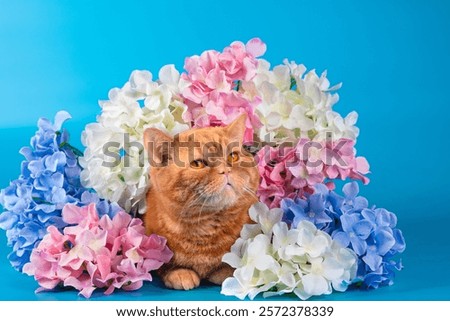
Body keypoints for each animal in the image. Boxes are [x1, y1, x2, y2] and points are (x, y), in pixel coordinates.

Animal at [142, 115, 258, 290]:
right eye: (197, 164)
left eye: (233, 156)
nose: (226, 170)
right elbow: (165, 264)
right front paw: (180, 272)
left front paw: (225, 271)